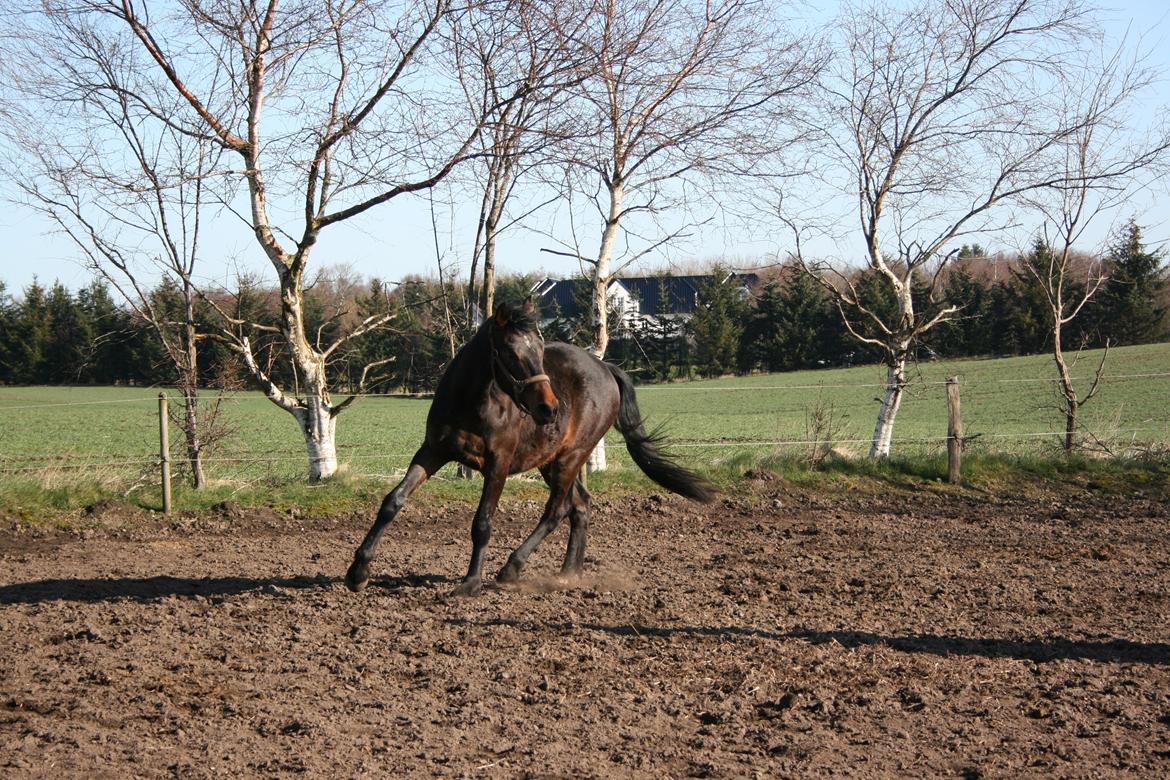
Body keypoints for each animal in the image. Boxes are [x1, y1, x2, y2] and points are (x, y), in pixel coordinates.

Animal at [341, 301, 716, 598]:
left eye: (540, 350)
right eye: (510, 352)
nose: (549, 409)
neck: (472, 402)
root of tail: (606, 369)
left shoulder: (498, 464)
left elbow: (483, 522)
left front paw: (471, 583)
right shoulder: (432, 452)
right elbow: (392, 502)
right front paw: (358, 573)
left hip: (570, 458)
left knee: (557, 510)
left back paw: (512, 568)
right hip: (550, 462)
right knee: (580, 504)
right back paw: (568, 574)